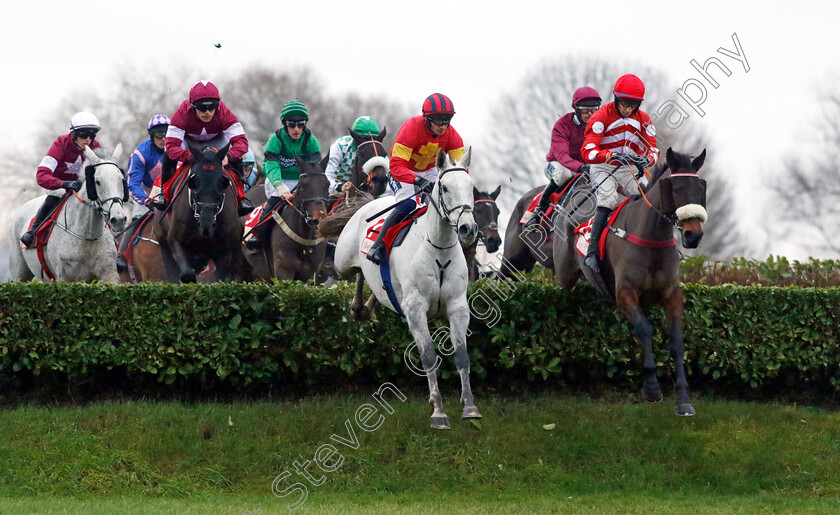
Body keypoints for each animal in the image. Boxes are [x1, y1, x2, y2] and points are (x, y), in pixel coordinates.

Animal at [9, 144, 129, 282]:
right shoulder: (65, 278)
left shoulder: (109, 275)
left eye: (122, 180)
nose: (118, 219)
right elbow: (42, 172)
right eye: (98, 181)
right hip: (19, 274)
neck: (88, 236)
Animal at [154, 144, 248, 282]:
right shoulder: (175, 240)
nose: (206, 223)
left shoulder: (227, 247)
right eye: (194, 181)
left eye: (222, 182)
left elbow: (224, 277)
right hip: (164, 245)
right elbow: (187, 275)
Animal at [334, 149, 480, 432]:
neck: (438, 248)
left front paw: (469, 406)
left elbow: (462, 356)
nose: (468, 229)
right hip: (341, 262)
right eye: (445, 188)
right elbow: (428, 356)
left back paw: (367, 306)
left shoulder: (458, 306)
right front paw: (438, 412)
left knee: (377, 285)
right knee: (356, 272)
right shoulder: (415, 309)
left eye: (471, 187)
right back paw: (359, 306)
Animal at [556, 147, 708, 418]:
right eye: (676, 188)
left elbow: (676, 342)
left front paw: (683, 399)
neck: (651, 237)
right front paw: (652, 388)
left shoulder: (672, 295)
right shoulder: (625, 295)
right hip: (563, 273)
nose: (693, 235)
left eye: (701, 188)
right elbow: (645, 329)